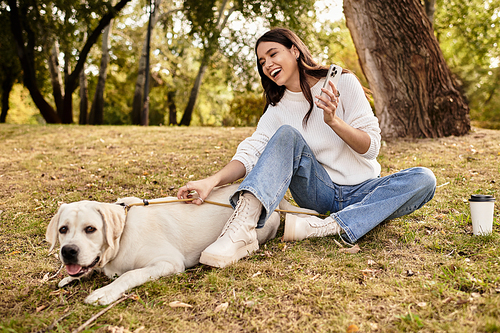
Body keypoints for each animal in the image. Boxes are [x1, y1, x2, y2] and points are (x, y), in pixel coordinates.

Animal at [47, 184, 312, 304]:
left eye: (90, 229)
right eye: (63, 230)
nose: (68, 251)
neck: (121, 235)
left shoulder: (168, 262)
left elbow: (130, 275)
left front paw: (105, 292)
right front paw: (70, 278)